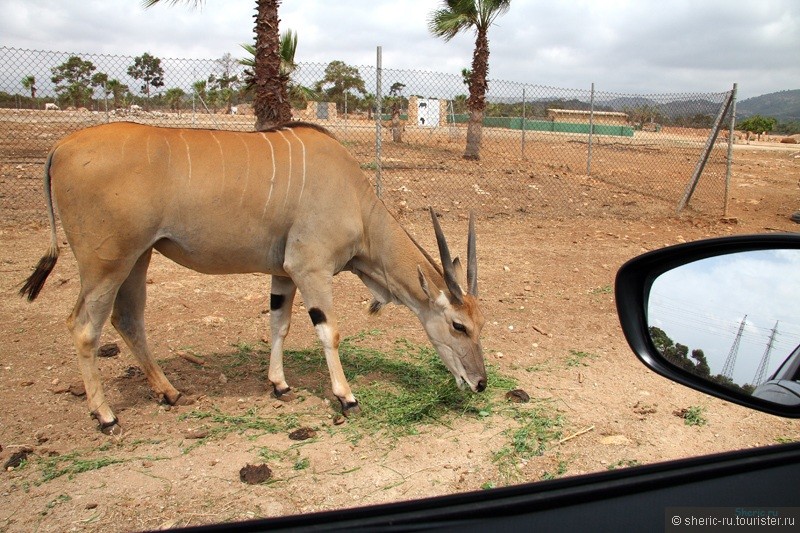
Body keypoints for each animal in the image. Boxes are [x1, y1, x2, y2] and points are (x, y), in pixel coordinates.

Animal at [23, 120, 488, 432]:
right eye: (458, 325)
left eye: (479, 324)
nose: (481, 383)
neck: (355, 198)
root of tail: (60, 147)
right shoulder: (310, 269)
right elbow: (329, 332)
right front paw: (346, 397)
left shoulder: (284, 274)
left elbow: (279, 324)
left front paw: (279, 385)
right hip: (106, 264)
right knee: (84, 327)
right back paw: (105, 415)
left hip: (137, 259)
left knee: (128, 319)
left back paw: (169, 392)